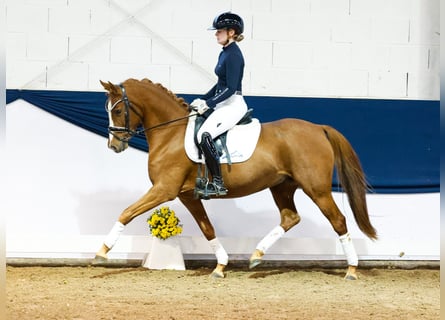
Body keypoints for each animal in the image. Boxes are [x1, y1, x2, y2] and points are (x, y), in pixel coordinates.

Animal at [93, 78, 374, 280]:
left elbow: (126, 212)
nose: (114, 145)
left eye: (118, 110)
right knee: (290, 218)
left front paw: (102, 252)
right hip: (281, 186)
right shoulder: (187, 195)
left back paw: (351, 270)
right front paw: (220, 266)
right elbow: (207, 228)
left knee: (338, 220)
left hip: (317, 189)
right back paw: (256, 255)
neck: (171, 133)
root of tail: (318, 128)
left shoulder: (164, 190)